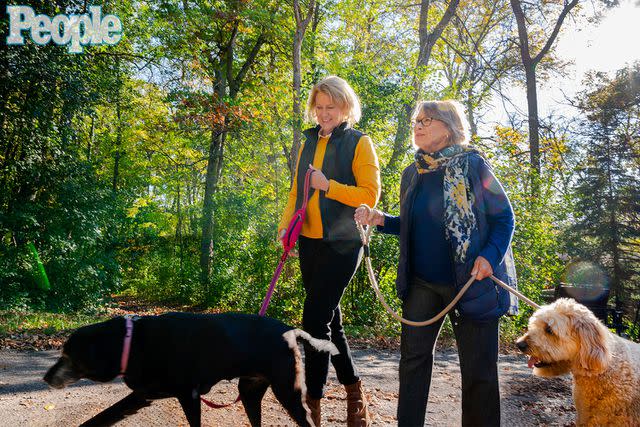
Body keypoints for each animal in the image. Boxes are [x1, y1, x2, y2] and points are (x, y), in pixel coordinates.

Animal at [42, 312, 338, 426]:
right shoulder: (140, 396)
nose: (44, 378)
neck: (131, 342)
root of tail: (291, 331)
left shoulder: (189, 395)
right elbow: (101, 417)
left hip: (287, 392)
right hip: (250, 392)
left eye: (67, 356)